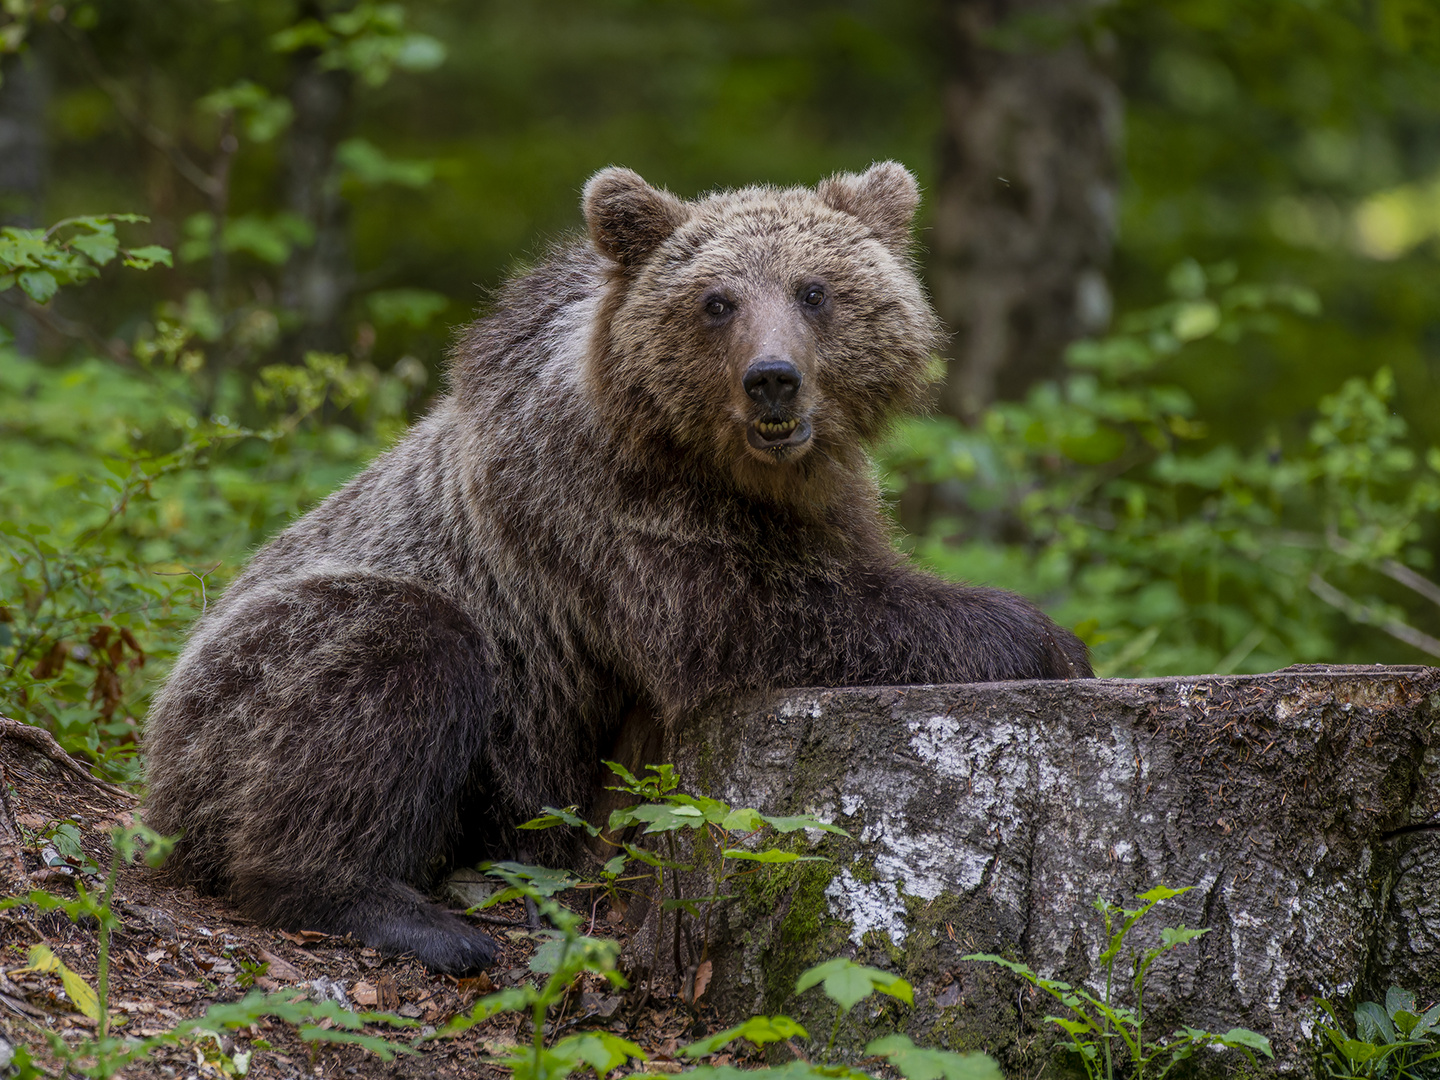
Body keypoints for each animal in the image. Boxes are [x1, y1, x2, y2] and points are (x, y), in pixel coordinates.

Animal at [146, 162, 1088, 979]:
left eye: (815, 291)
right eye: (717, 301)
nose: (772, 380)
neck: (733, 472)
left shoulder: (820, 502)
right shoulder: (606, 511)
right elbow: (757, 614)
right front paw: (1045, 636)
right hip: (251, 677)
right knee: (387, 661)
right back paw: (404, 914)